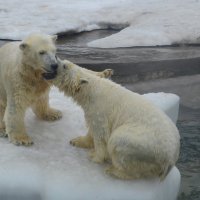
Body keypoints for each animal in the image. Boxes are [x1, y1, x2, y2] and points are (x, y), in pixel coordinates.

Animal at [52, 59, 180, 180]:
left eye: (64, 65)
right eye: (64, 62)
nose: (55, 60)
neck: (92, 90)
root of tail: (171, 159)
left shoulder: (100, 110)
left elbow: (100, 134)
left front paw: (95, 157)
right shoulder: (91, 110)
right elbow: (91, 129)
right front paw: (77, 141)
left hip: (143, 145)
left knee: (118, 142)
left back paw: (113, 170)